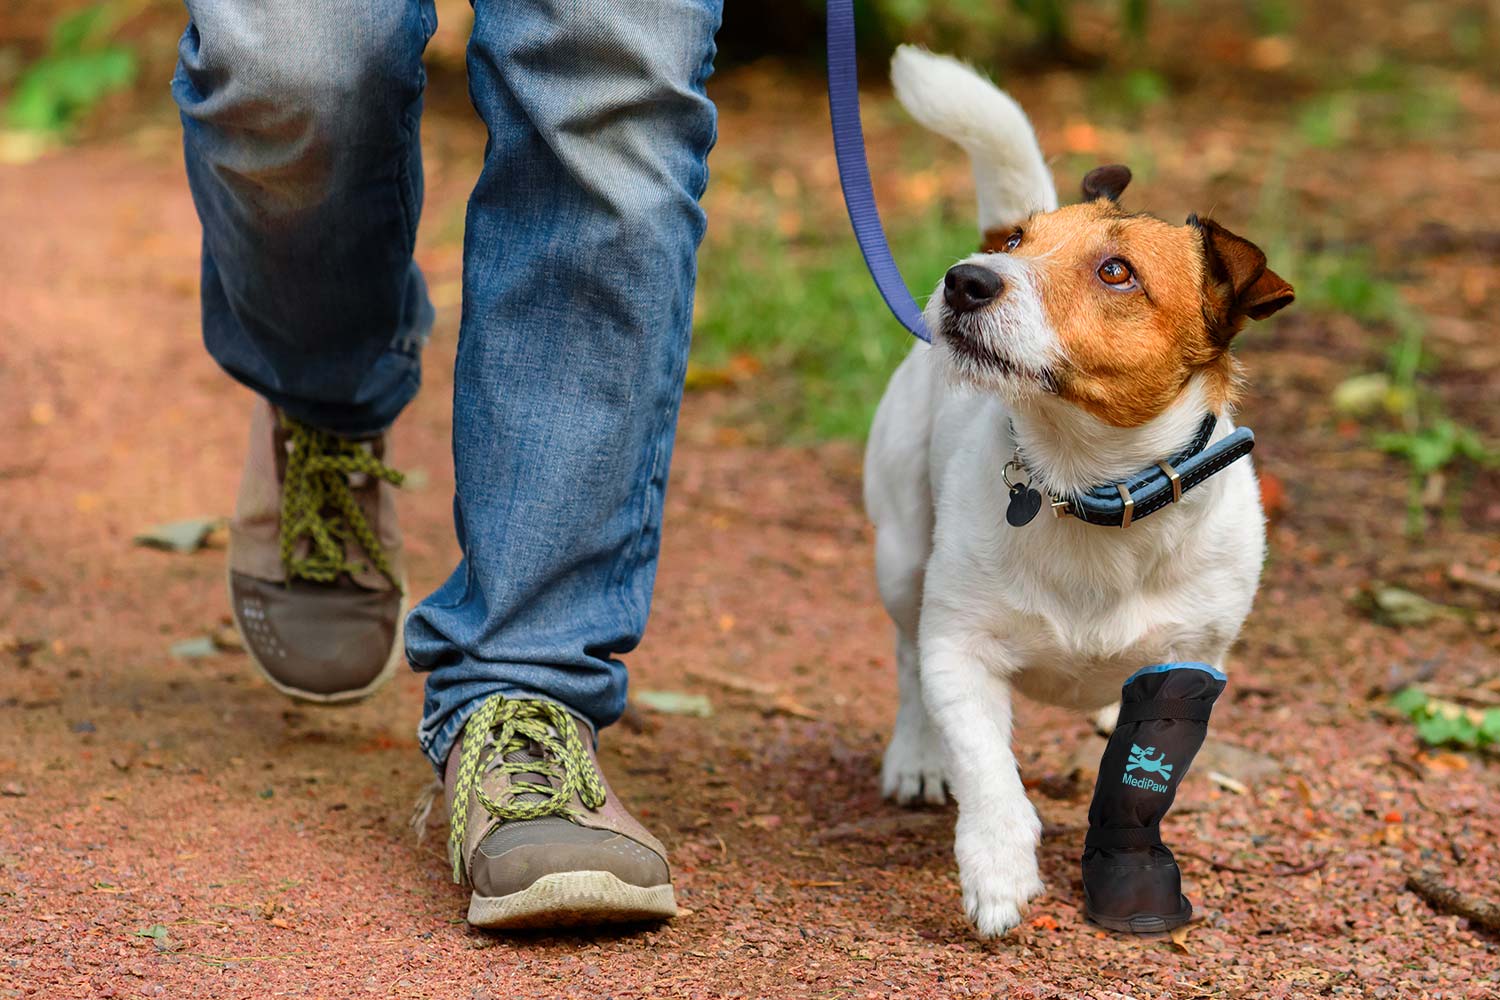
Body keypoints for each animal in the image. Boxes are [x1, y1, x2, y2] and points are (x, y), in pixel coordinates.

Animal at [864, 46, 1296, 941]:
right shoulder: (960, 650)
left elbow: (1138, 780)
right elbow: (987, 765)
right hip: (900, 554)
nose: (965, 278)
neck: (1085, 486)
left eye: (1116, 272)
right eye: (1020, 242)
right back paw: (916, 755)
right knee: (905, 658)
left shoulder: (1189, 667)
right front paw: (997, 870)